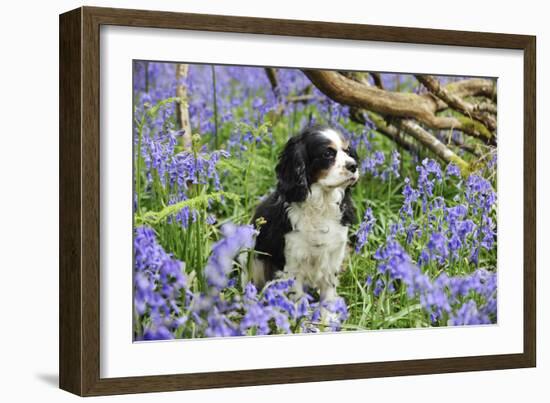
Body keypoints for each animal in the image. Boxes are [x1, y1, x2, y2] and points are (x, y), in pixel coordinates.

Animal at [251, 126, 362, 304]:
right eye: (327, 154)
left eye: (347, 151)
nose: (354, 165)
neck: (321, 204)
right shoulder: (293, 262)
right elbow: (296, 296)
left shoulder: (334, 255)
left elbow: (328, 291)